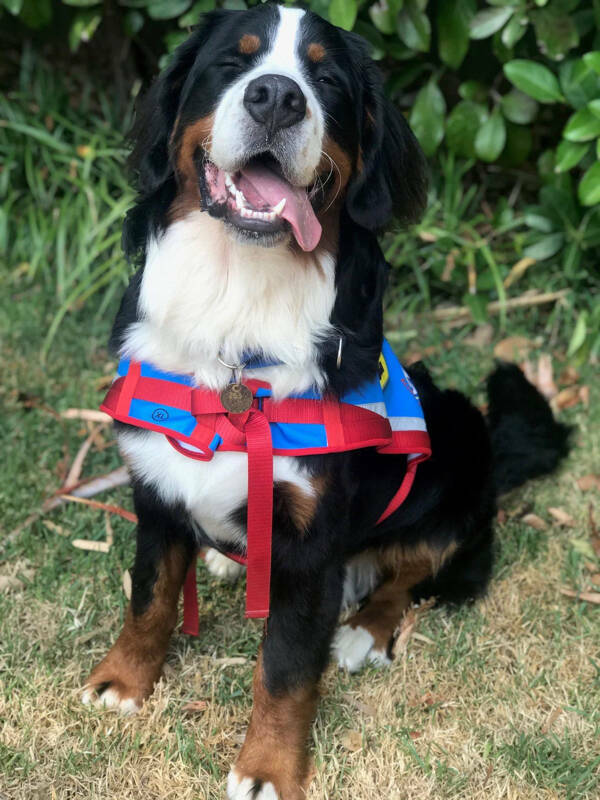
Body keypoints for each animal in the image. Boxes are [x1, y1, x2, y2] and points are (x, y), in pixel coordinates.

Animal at [82, 3, 568, 796]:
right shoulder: (155, 487)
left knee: (419, 570)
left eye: (329, 80)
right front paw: (122, 682)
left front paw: (268, 767)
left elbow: (284, 666)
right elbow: (150, 596)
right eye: (234, 61)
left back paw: (364, 631)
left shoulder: (312, 544)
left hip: (452, 473)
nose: (277, 98)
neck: (238, 312)